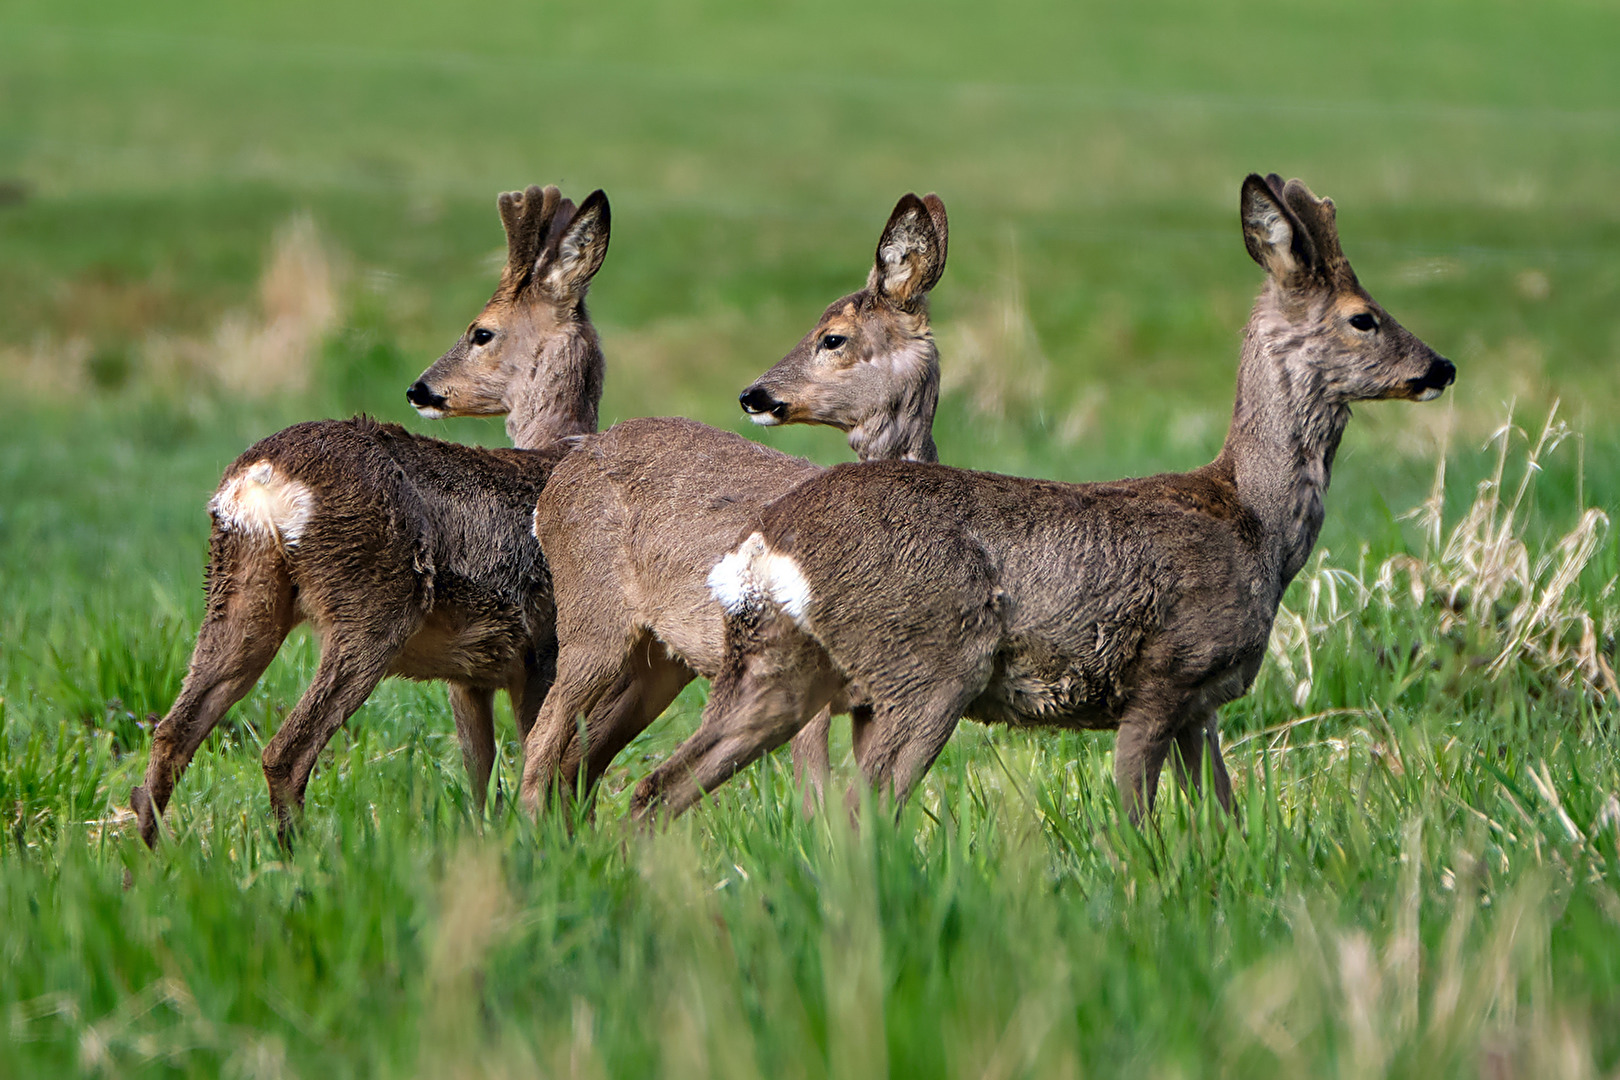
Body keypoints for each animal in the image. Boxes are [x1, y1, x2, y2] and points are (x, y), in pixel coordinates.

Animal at [129, 186, 609, 841]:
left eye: (480, 333)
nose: (420, 389)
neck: (558, 447)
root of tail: (263, 478)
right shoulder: (544, 644)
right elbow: (547, 761)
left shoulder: (474, 671)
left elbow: (481, 771)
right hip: (373, 602)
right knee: (285, 750)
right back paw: (299, 855)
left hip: (239, 587)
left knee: (173, 732)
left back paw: (148, 858)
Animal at [518, 196, 946, 819]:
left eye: (833, 338)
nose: (754, 395)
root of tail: (563, 472)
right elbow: (817, 796)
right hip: (592, 617)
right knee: (542, 741)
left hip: (659, 660)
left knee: (578, 759)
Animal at [628, 175, 1458, 829]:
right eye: (1363, 316)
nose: (1440, 367)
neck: (1254, 521)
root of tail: (769, 544)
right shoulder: (1163, 674)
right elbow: (1137, 815)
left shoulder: (1205, 703)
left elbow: (1223, 816)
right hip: (929, 667)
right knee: (858, 808)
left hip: (775, 666)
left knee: (658, 788)